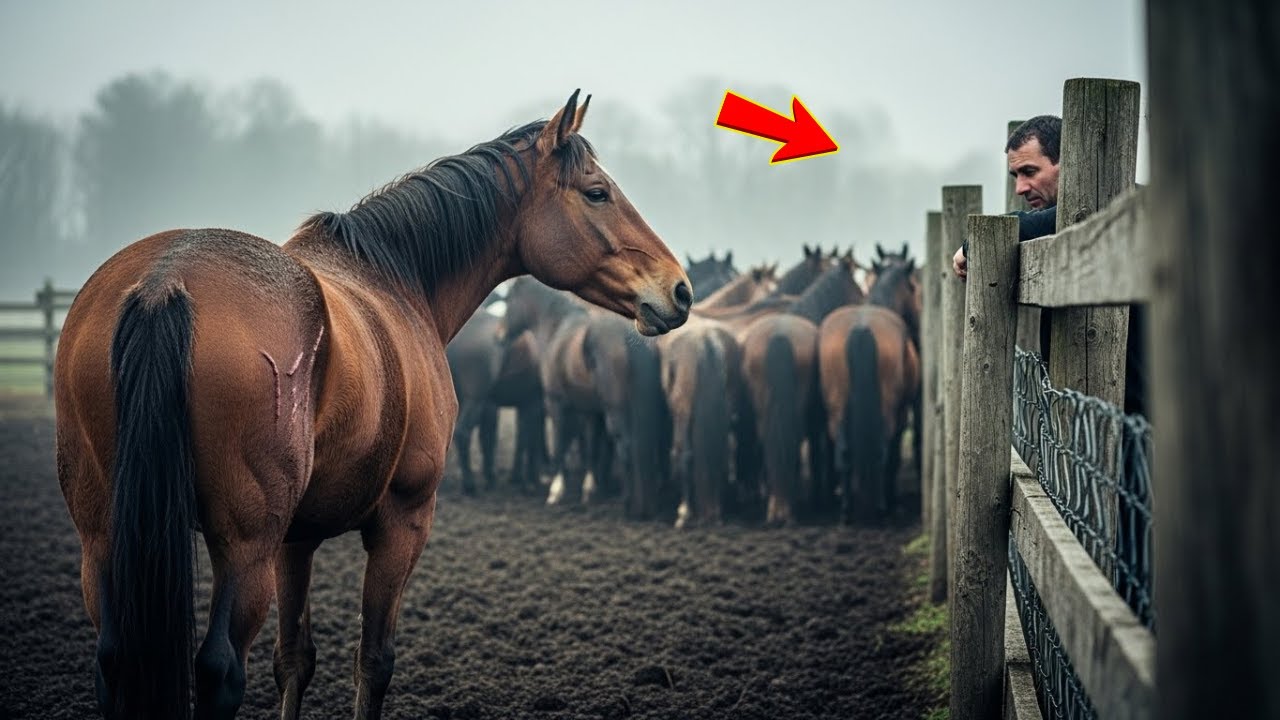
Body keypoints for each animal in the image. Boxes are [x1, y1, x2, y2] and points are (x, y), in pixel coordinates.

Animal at [53, 91, 692, 720]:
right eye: (596, 192)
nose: (679, 290)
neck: (396, 281)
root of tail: (166, 282)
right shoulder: (401, 522)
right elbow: (374, 661)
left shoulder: (296, 539)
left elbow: (295, 660)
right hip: (243, 546)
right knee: (219, 671)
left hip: (106, 538)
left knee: (115, 659)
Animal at [737, 252, 865, 525]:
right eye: (857, 287)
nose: (865, 300)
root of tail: (778, 336)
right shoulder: (818, 420)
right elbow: (818, 455)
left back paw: (778, 506)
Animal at [817, 258, 921, 524]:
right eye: (913, 287)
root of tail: (861, 328)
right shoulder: (901, 414)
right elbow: (894, 456)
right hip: (887, 411)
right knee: (882, 452)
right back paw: (882, 506)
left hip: (837, 410)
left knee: (843, 452)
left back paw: (846, 510)